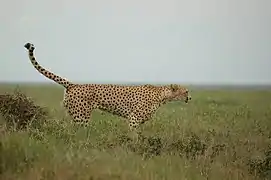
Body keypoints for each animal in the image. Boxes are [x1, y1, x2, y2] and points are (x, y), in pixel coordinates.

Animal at [24, 43, 192, 134]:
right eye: (186, 91)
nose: (190, 97)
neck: (162, 95)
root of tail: (74, 84)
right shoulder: (133, 118)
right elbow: (134, 135)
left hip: (75, 114)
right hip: (82, 116)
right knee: (78, 132)